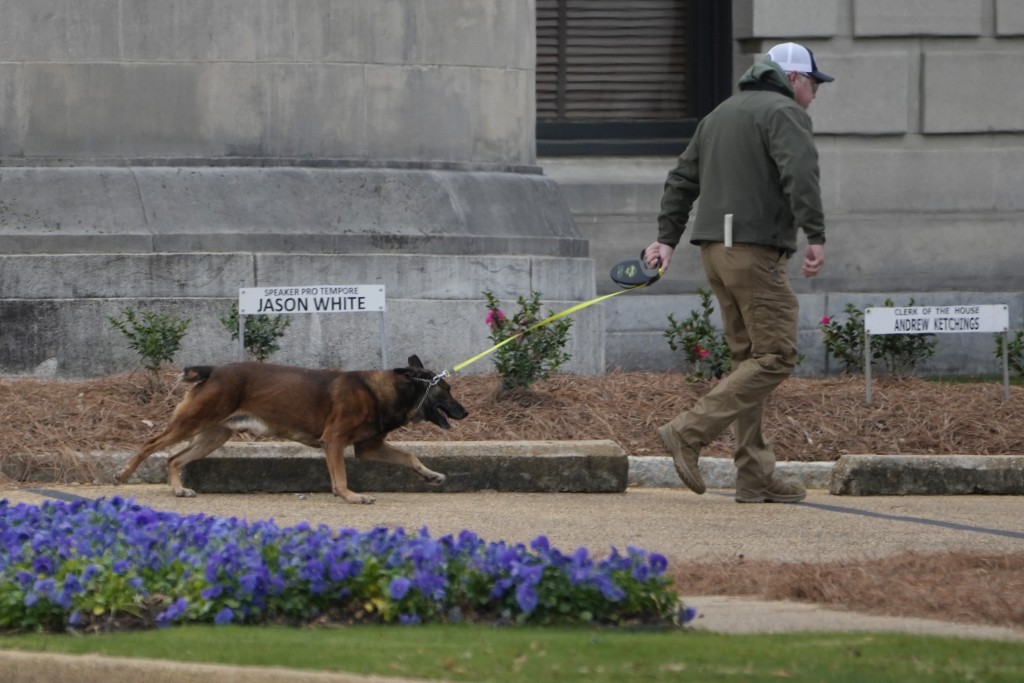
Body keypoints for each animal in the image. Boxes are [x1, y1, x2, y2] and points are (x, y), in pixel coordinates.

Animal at [116, 356, 468, 505]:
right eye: (446, 389)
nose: (465, 411)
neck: (388, 390)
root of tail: (213, 370)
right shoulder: (334, 442)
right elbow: (341, 477)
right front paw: (350, 496)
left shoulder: (368, 447)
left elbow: (409, 456)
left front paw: (430, 475)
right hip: (192, 422)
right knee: (151, 444)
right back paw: (124, 473)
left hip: (214, 435)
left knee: (173, 458)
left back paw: (178, 489)